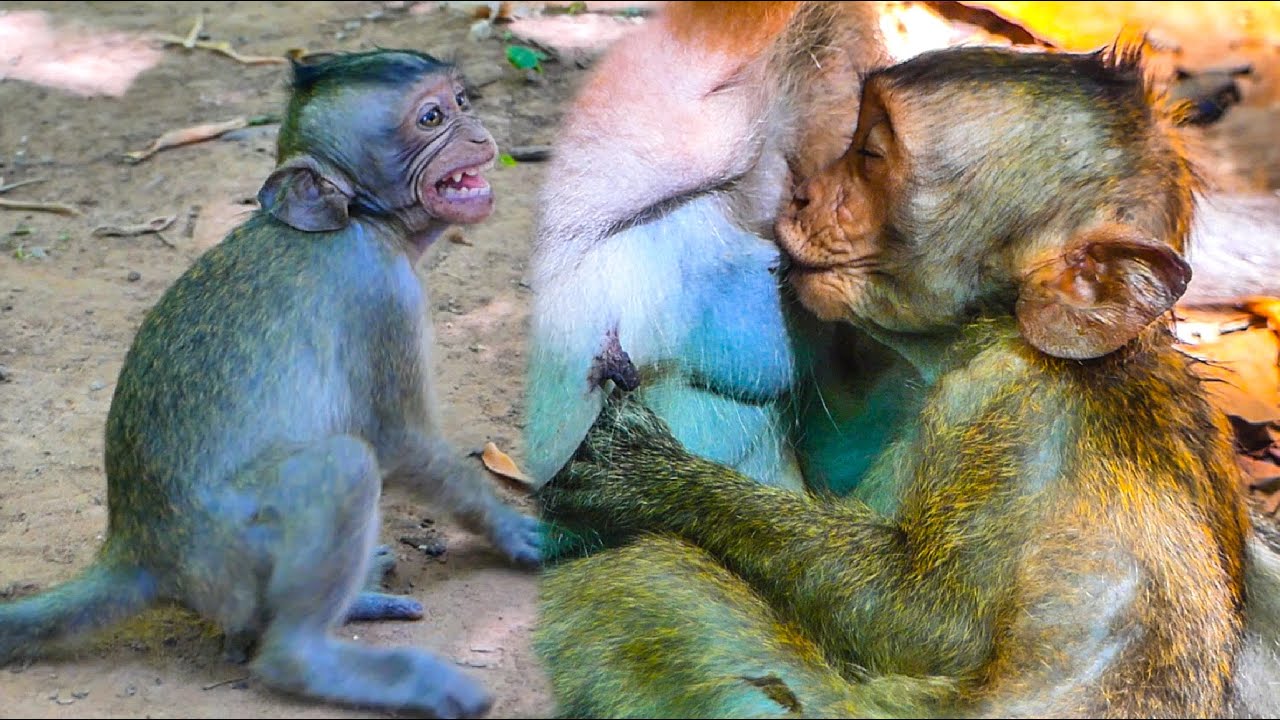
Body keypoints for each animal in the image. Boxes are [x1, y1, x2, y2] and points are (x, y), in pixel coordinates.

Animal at [0, 50, 540, 718]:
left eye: (461, 102)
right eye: (431, 118)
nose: (478, 134)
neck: (357, 221)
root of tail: (136, 548)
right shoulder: (379, 291)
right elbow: (399, 440)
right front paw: (510, 528)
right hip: (229, 554)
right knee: (342, 466)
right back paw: (311, 658)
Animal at [534, 45, 1280, 718]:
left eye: (871, 154)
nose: (801, 194)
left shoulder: (1004, 413)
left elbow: (929, 623)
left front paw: (648, 476)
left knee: (641, 580)